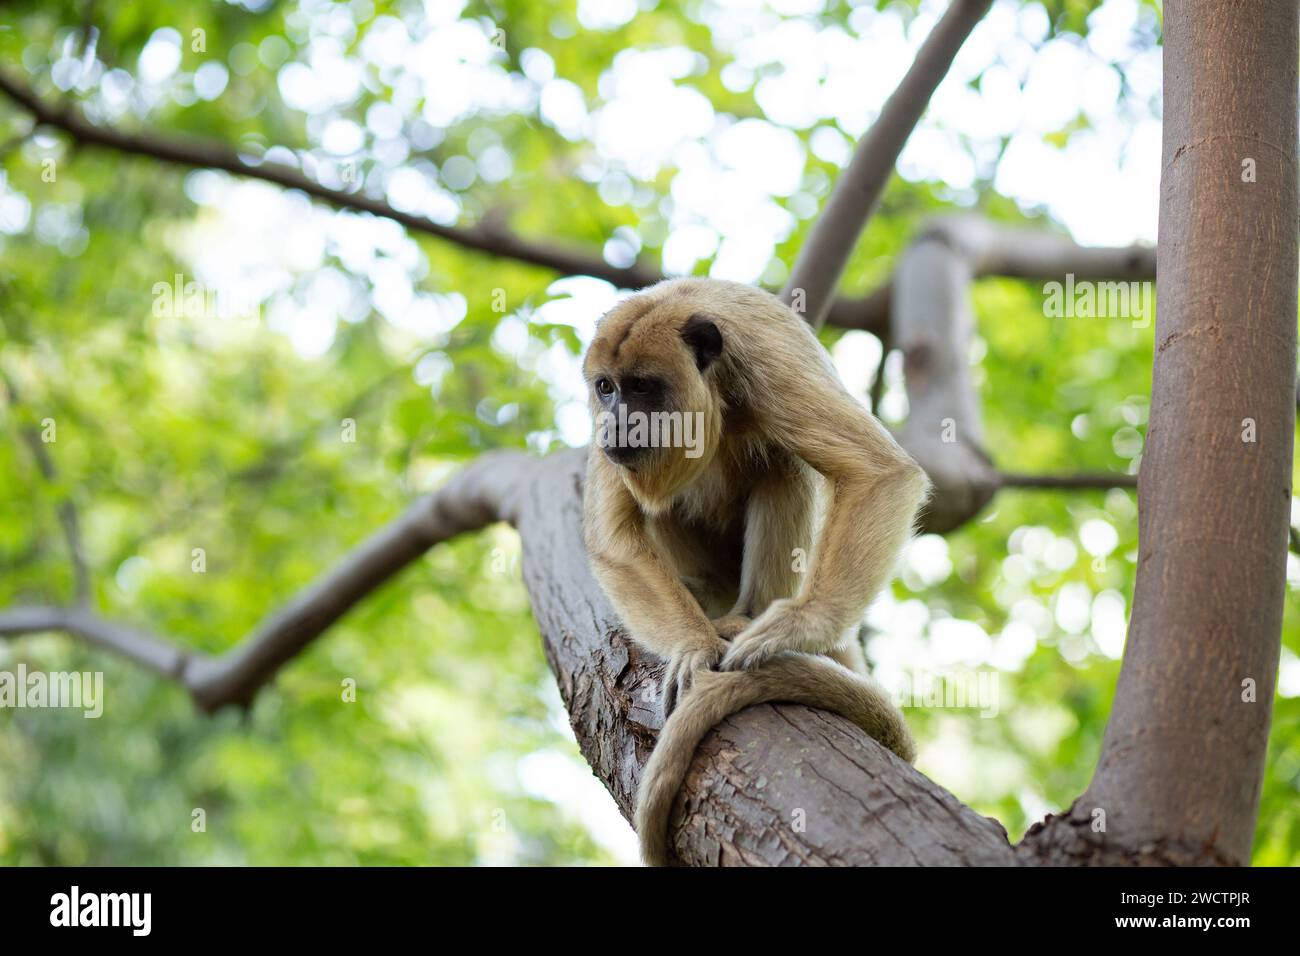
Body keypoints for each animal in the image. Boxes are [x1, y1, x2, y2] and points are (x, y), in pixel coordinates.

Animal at [582, 274, 935, 868]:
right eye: (606, 388)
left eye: (643, 386)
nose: (614, 421)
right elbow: (613, 536)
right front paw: (692, 645)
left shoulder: (765, 362)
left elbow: (878, 471)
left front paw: (805, 622)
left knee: (782, 459)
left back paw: (745, 616)